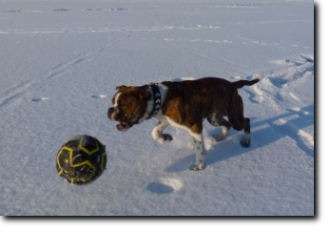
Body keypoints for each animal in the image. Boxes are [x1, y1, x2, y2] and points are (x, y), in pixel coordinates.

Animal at [107, 77, 262, 169]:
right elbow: (155, 132)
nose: (109, 110)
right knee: (227, 125)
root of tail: (232, 85)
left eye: (123, 104)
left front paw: (199, 165)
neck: (158, 98)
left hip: (234, 117)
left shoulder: (195, 126)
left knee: (246, 121)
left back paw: (246, 140)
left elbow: (199, 149)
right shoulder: (166, 120)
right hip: (214, 118)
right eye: (113, 101)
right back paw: (218, 137)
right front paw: (165, 139)